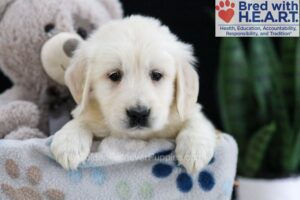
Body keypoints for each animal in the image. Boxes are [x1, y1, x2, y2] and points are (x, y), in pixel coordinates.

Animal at [49, 15, 216, 173]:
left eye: (156, 75)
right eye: (114, 75)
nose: (139, 113)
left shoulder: (188, 110)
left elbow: (196, 121)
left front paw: (194, 151)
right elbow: (80, 120)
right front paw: (69, 144)